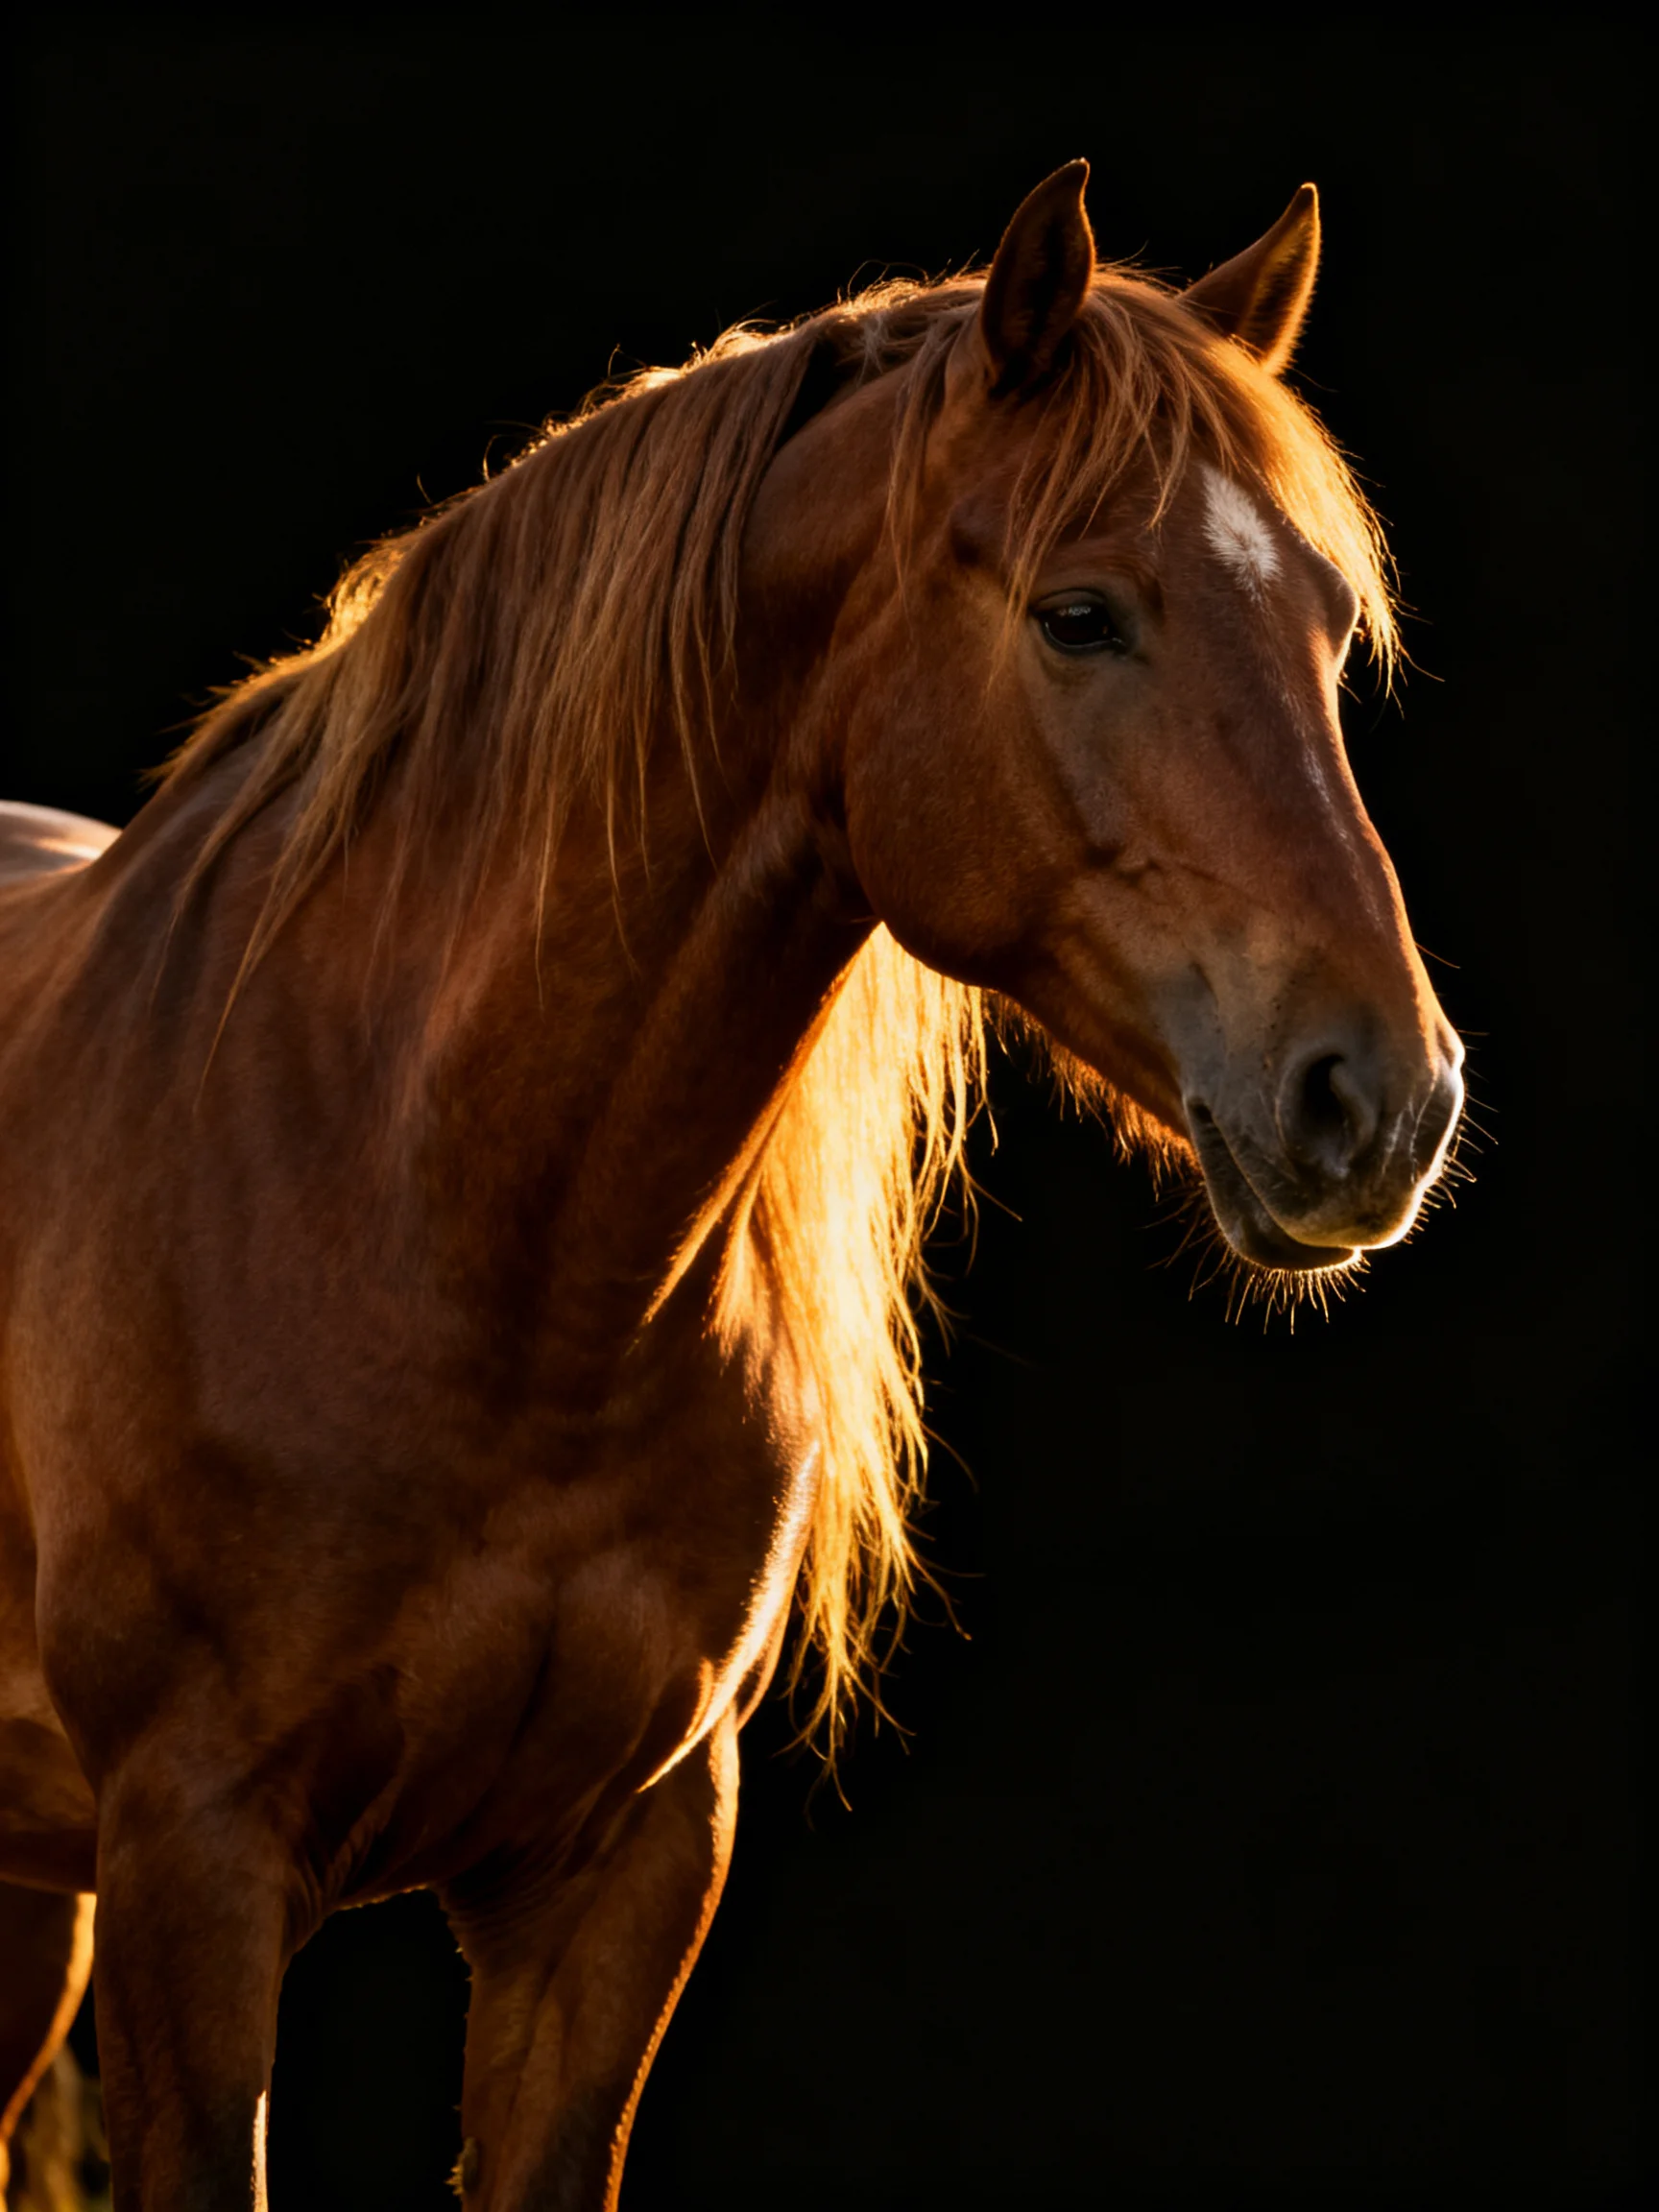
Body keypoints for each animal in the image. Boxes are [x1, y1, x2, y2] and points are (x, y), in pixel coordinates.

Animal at [0, 163, 1462, 2209]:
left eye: (1330, 631)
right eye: (1078, 613)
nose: (1380, 1098)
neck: (418, 1207)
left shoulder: (619, 1867)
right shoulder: (189, 1864)